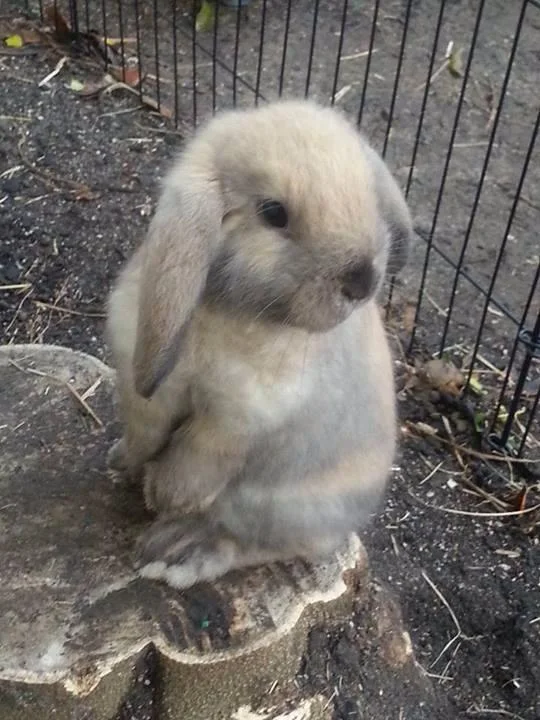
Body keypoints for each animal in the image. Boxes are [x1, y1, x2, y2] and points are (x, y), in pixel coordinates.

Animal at [105, 98, 413, 590]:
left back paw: (178, 551)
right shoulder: (149, 396)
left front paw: (165, 496)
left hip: (278, 508)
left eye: (367, 196)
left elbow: (195, 465)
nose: (362, 281)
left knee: (260, 544)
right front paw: (126, 466)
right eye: (273, 213)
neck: (233, 309)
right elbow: (144, 437)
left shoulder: (235, 422)